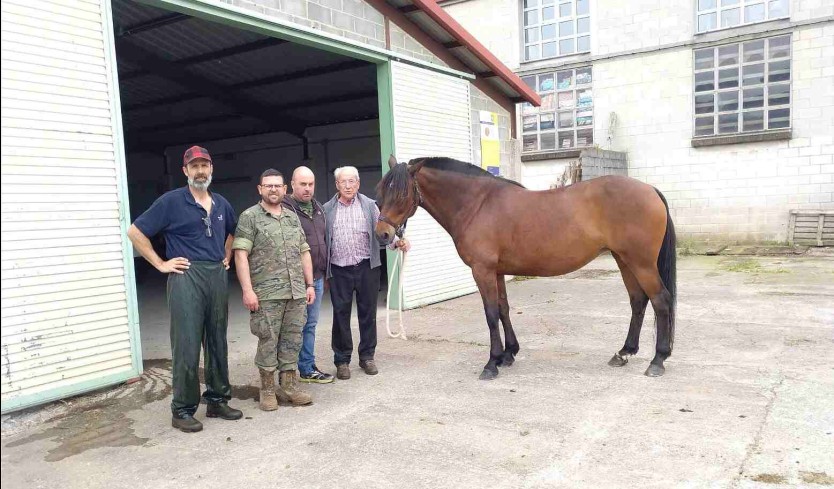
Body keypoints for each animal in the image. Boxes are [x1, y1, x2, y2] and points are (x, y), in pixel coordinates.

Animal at [374, 154, 672, 380]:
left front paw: (491, 363)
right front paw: (508, 354)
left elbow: (491, 314)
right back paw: (624, 352)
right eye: (380, 191)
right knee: (638, 301)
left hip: (641, 263)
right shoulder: (497, 271)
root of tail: (650, 190)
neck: (477, 204)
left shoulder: (482, 270)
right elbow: (504, 309)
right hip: (624, 260)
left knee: (661, 301)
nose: (382, 235)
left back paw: (657, 360)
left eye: (402, 194)